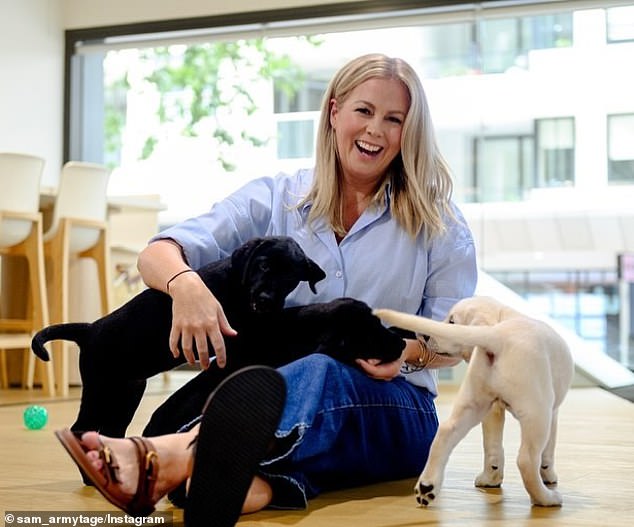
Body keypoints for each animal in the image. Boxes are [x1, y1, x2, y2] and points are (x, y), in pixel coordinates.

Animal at [31, 237, 324, 440]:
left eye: (290, 278)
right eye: (263, 265)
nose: (266, 300)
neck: (237, 281)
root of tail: (89, 329)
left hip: (127, 392)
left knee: (110, 429)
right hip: (100, 389)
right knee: (81, 428)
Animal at [372, 296, 576, 508]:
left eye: (452, 321)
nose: (424, 336)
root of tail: (496, 335)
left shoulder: (493, 411)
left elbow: (492, 446)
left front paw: (491, 477)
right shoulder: (552, 412)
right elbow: (548, 449)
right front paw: (549, 475)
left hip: (472, 404)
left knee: (446, 432)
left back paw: (427, 487)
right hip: (536, 412)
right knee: (526, 460)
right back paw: (546, 498)